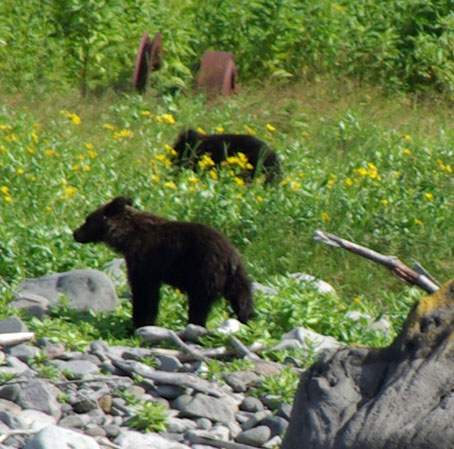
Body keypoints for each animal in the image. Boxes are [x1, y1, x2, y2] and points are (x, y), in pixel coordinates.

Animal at [72, 198, 254, 328]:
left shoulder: (145, 259)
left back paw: (195, 323)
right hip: (237, 276)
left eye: (88, 219)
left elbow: (144, 291)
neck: (127, 237)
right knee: (242, 298)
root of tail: (230, 257)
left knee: (199, 302)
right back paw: (247, 320)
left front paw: (139, 322)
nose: (75, 233)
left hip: (205, 270)